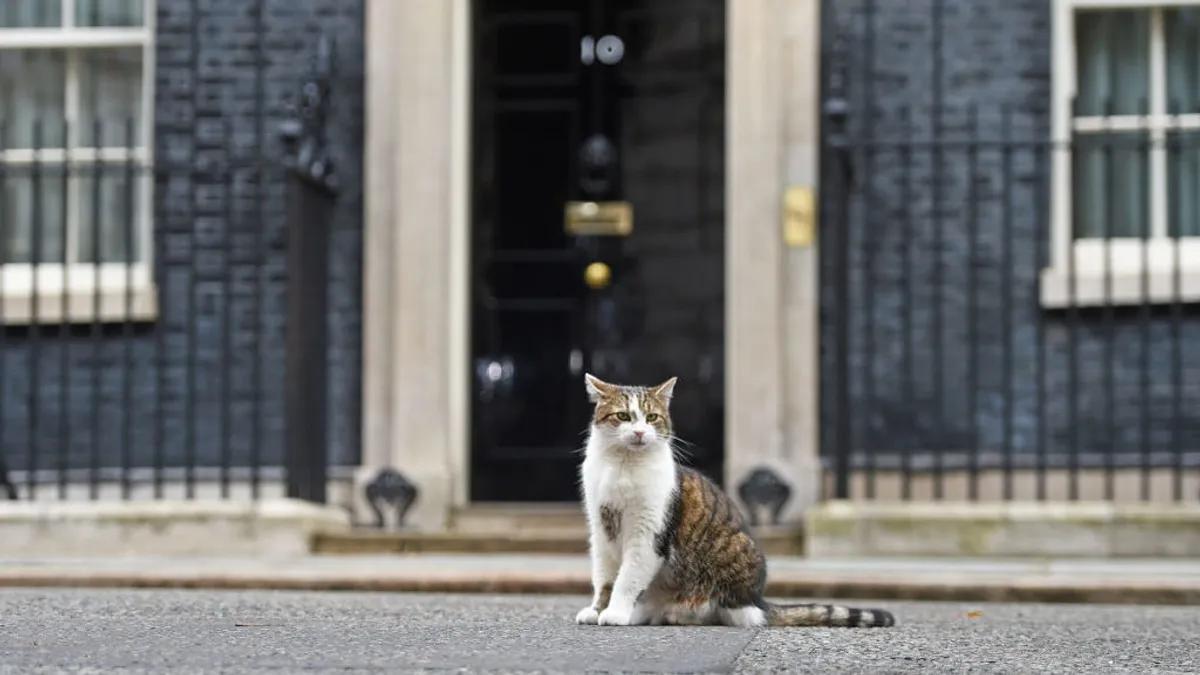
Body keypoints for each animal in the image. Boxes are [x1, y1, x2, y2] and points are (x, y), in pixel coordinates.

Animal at [576, 372, 897, 624]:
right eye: (623, 416)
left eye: (652, 417)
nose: (641, 432)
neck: (622, 466)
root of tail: (758, 601)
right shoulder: (600, 530)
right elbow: (604, 578)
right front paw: (598, 609)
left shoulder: (648, 533)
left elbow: (627, 579)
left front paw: (616, 612)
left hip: (732, 556)